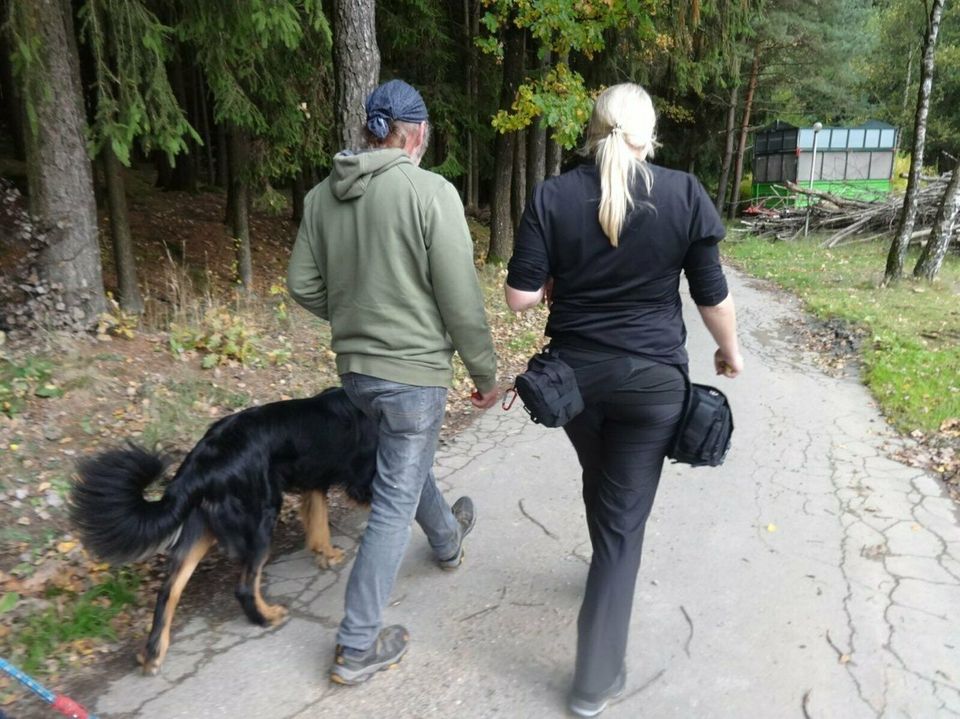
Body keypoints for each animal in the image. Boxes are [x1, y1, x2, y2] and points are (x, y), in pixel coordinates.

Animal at [69, 388, 376, 676]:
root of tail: (200, 465)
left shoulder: (316, 479)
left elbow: (319, 523)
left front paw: (326, 553)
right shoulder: (365, 482)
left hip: (200, 528)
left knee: (169, 591)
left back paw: (154, 652)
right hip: (261, 517)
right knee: (244, 586)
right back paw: (266, 616)